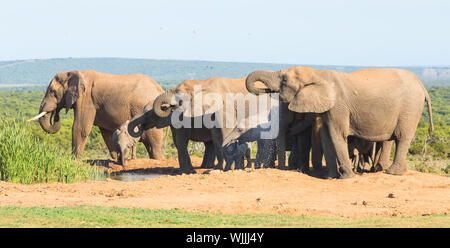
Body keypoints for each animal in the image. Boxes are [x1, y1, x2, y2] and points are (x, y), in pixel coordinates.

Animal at [29, 69, 164, 160]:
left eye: (53, 92)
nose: (56, 113)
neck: (74, 73)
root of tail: (160, 89)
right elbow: (107, 133)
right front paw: (118, 158)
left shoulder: (86, 99)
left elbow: (80, 128)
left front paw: (74, 160)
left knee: (153, 145)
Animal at [246, 66, 432, 178]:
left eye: (284, 80)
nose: (265, 90)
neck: (318, 73)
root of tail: (422, 86)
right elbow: (326, 136)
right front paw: (331, 177)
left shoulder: (339, 106)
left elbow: (337, 135)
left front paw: (346, 177)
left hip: (410, 108)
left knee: (402, 137)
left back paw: (392, 173)